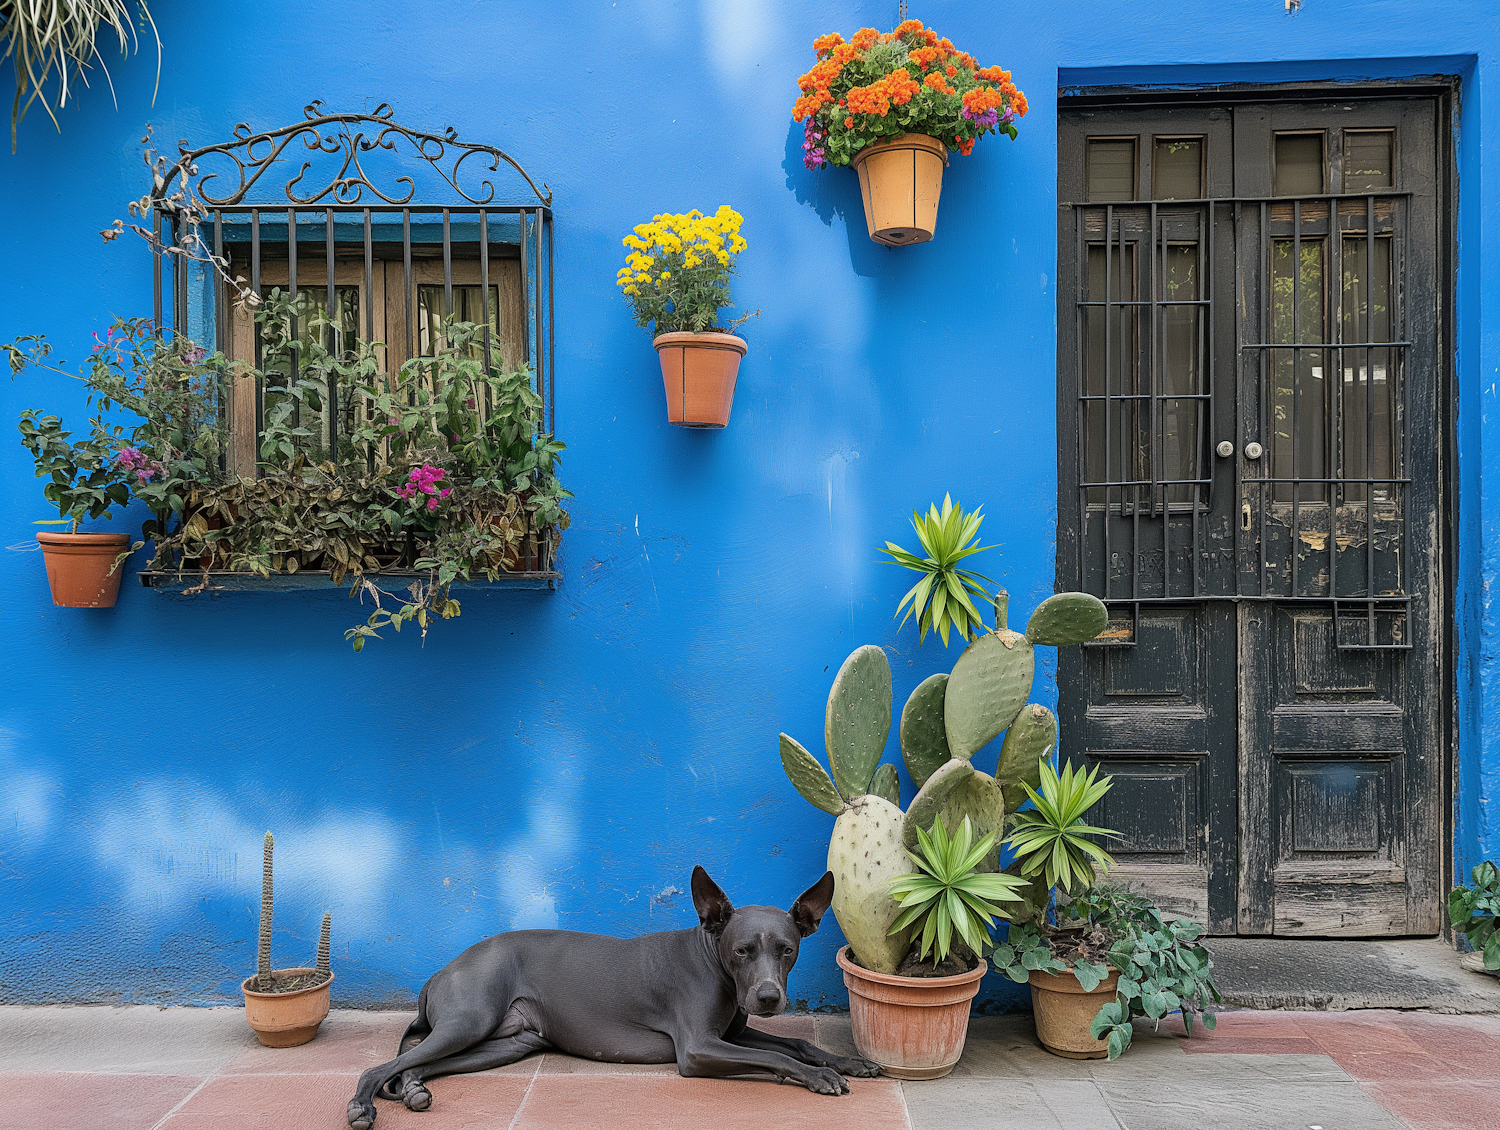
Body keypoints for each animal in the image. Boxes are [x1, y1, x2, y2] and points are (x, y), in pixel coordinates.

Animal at [346, 864, 876, 1122]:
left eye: (787, 950)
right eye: (742, 950)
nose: (767, 999)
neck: (712, 958)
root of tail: (442, 969)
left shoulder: (734, 1034)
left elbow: (797, 1043)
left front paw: (848, 1062)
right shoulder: (699, 1048)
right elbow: (779, 1057)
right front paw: (821, 1076)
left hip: (506, 1044)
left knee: (415, 1065)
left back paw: (415, 1089)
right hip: (470, 1022)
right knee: (379, 1068)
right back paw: (362, 1106)